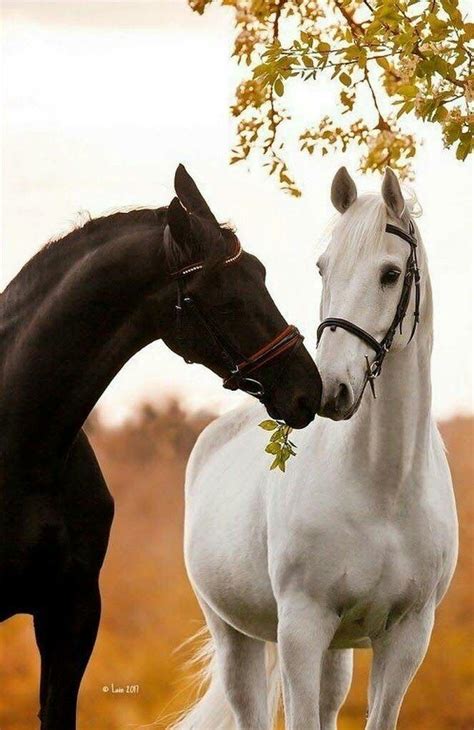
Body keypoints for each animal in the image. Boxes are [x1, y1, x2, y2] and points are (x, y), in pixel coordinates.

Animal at [172, 168, 458, 724]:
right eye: (324, 268)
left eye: (390, 273)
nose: (330, 390)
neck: (384, 487)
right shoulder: (301, 629)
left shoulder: (407, 637)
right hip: (235, 637)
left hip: (337, 649)